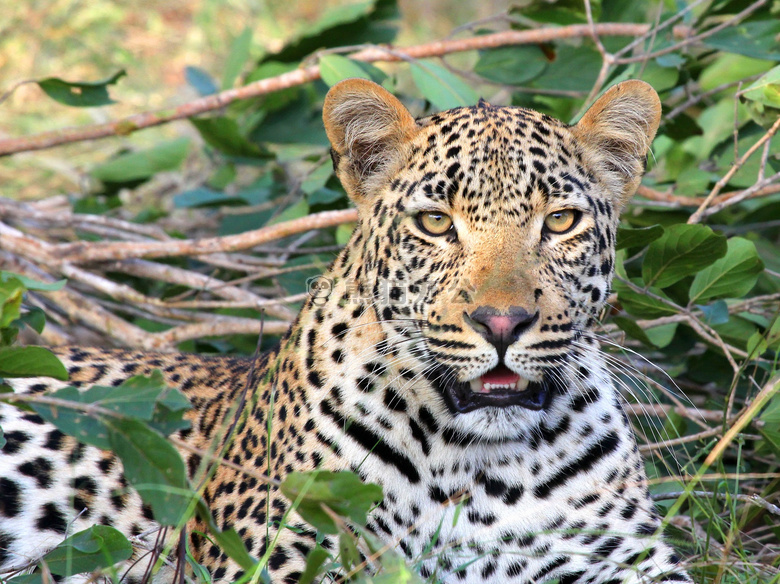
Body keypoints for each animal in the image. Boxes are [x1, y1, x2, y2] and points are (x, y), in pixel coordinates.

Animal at [1, 78, 696, 584]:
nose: (502, 322)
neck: (480, 469)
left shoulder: (622, 562)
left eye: (560, 221)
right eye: (436, 223)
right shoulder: (277, 556)